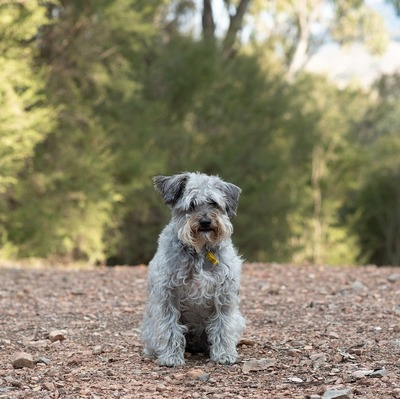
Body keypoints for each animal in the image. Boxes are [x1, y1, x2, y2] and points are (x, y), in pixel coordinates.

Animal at [142, 172, 245, 366]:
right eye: (191, 204)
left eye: (213, 203)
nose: (205, 221)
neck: (200, 251)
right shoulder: (168, 295)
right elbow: (170, 327)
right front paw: (171, 356)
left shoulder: (223, 295)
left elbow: (223, 325)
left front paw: (224, 354)